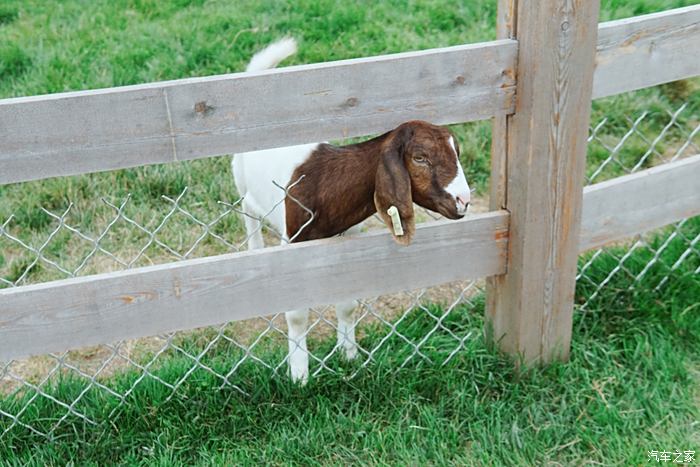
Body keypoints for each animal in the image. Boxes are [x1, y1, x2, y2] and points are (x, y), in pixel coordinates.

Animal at [234, 38, 470, 384]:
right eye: (420, 158)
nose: (464, 200)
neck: (326, 184)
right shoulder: (294, 242)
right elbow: (297, 314)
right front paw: (299, 375)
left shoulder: (349, 238)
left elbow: (347, 303)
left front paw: (349, 356)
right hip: (241, 182)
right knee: (248, 215)